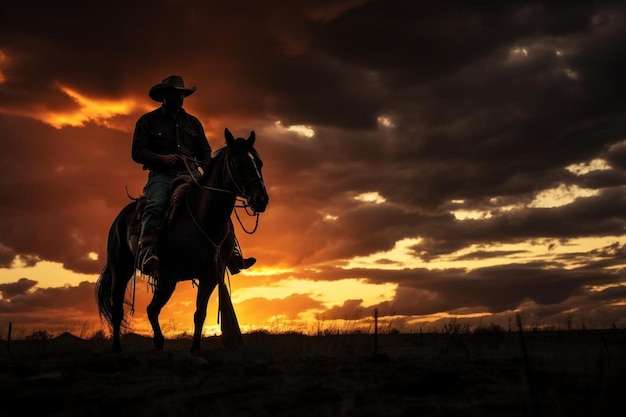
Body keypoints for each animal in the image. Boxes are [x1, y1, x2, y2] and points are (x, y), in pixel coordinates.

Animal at [96, 127, 266, 352]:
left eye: (259, 162)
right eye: (237, 163)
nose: (261, 199)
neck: (204, 217)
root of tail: (120, 218)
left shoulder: (210, 276)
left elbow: (200, 314)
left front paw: (195, 349)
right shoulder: (167, 275)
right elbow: (152, 309)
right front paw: (161, 343)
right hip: (121, 271)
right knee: (120, 309)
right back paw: (118, 348)